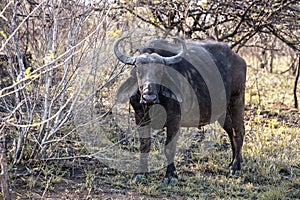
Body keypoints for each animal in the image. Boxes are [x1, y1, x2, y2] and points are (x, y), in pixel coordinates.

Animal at [113, 36, 245, 184]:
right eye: (139, 71)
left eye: (160, 72)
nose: (149, 97)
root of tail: (238, 59)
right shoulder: (140, 117)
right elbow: (144, 145)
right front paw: (140, 172)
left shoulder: (174, 119)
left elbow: (169, 148)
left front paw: (171, 175)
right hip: (222, 112)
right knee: (231, 131)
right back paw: (233, 162)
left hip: (237, 100)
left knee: (238, 132)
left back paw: (236, 167)